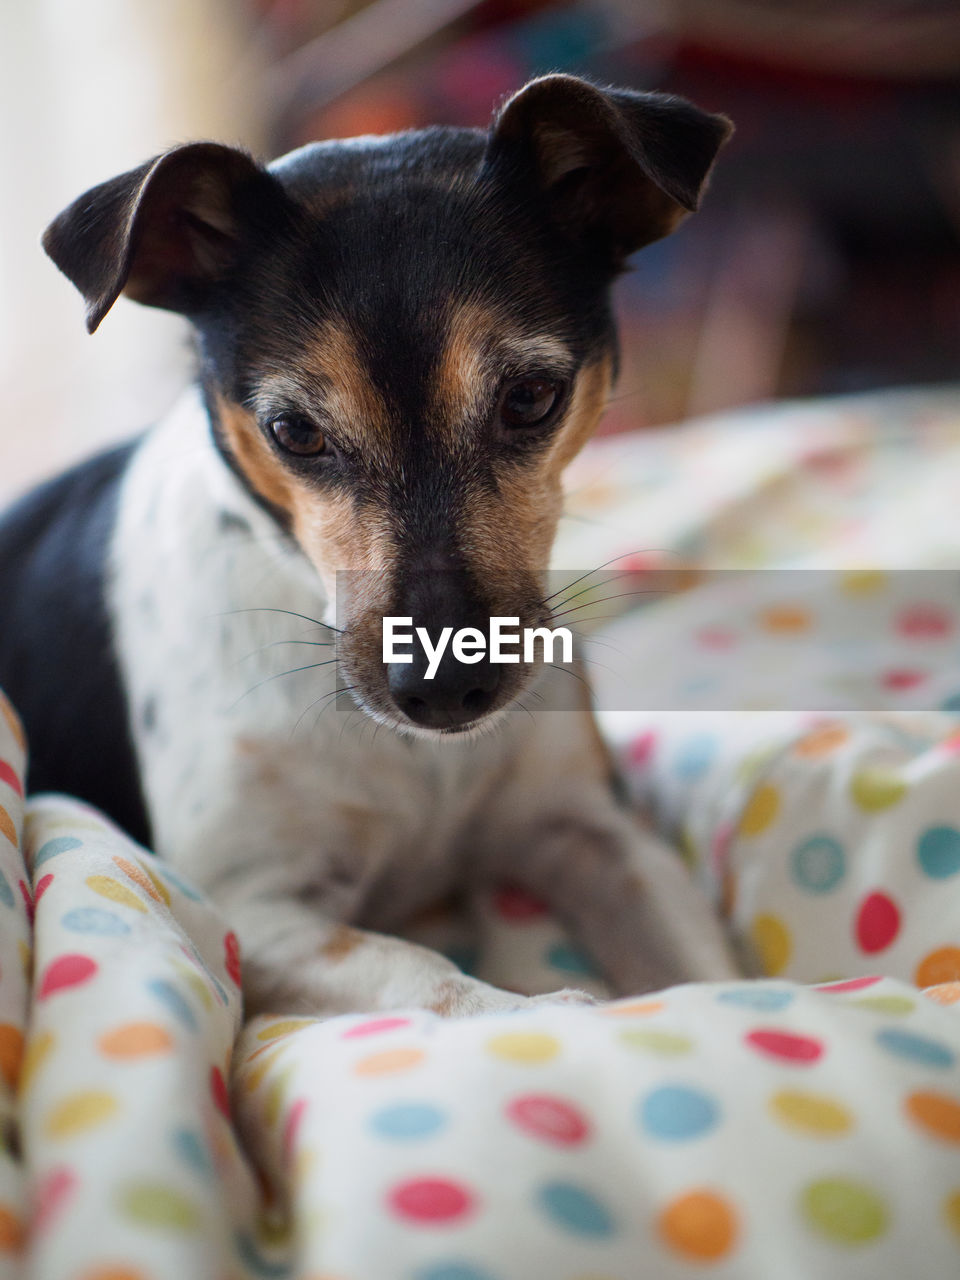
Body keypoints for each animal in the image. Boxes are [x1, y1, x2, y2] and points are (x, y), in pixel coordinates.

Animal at [0, 74, 742, 1013]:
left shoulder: (592, 829)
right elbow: (432, 979)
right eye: (293, 431)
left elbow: (710, 975)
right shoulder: (250, 914)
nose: (448, 689)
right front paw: (557, 1016)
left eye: (532, 397)